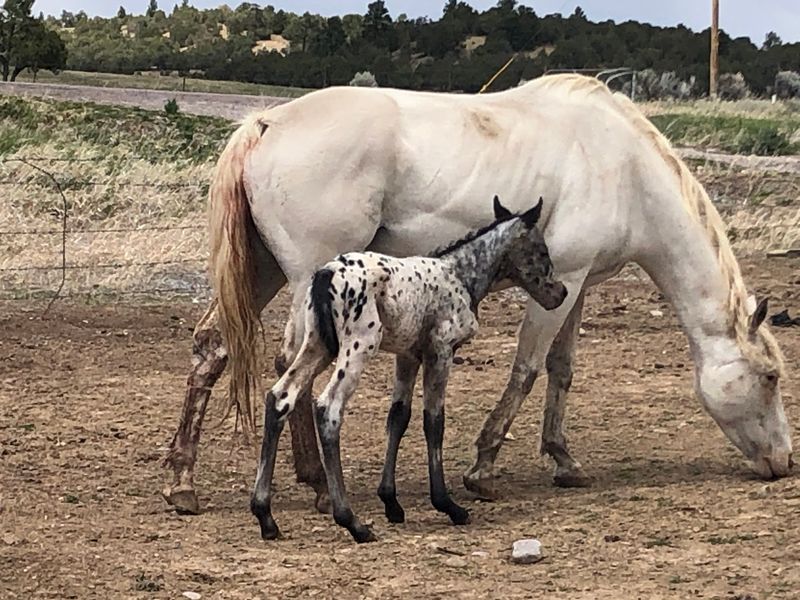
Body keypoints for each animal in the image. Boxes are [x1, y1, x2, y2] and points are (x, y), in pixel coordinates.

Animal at [251, 196, 566, 542]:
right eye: (542, 250)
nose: (560, 292)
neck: (460, 275)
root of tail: (326, 274)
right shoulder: (440, 351)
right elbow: (434, 421)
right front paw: (448, 505)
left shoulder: (408, 356)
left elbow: (398, 417)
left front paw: (391, 503)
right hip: (358, 346)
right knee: (329, 408)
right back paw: (352, 521)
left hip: (318, 345)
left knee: (281, 397)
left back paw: (266, 516)